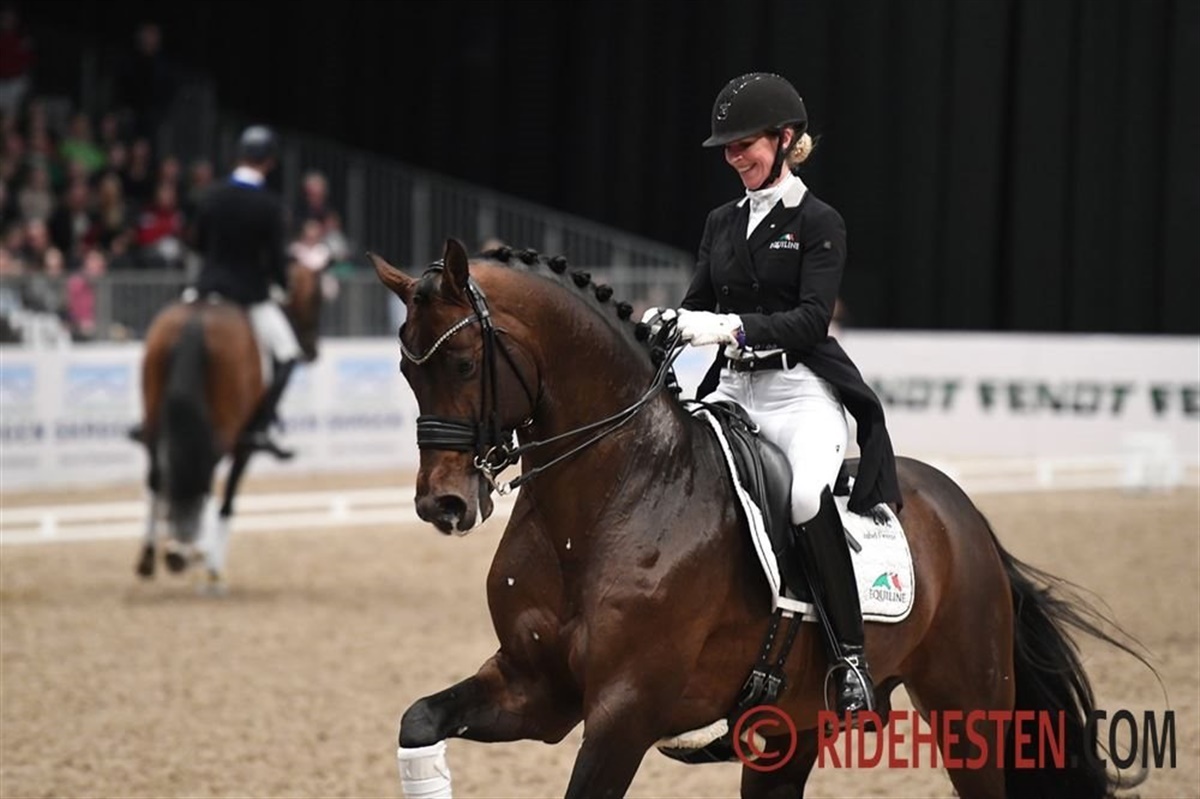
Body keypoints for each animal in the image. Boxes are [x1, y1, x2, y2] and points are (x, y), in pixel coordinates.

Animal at [133, 260, 326, 588]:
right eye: (316, 298)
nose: (312, 351)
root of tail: (198, 317)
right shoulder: (244, 446)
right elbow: (228, 502)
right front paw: (213, 567)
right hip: (226, 428)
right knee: (204, 471)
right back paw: (190, 551)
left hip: (155, 415)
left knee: (157, 477)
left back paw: (153, 555)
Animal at [370, 238, 1151, 799]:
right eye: (406, 372)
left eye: (464, 362)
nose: (442, 504)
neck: (610, 495)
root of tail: (968, 518)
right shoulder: (536, 689)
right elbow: (419, 719)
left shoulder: (624, 713)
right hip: (792, 726)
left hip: (971, 712)